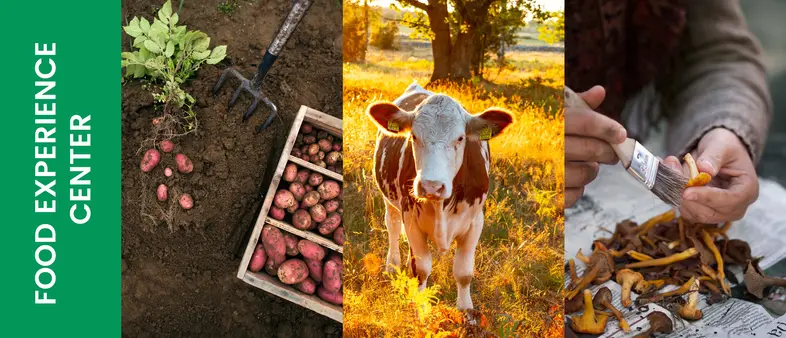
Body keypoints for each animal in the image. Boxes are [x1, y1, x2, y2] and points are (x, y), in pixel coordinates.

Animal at [364, 83, 512, 310]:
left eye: (460, 138)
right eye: (414, 136)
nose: (431, 186)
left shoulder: (475, 221)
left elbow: (464, 272)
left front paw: (466, 310)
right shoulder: (411, 218)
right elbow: (421, 269)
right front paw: (420, 306)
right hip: (390, 201)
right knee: (393, 226)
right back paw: (392, 266)